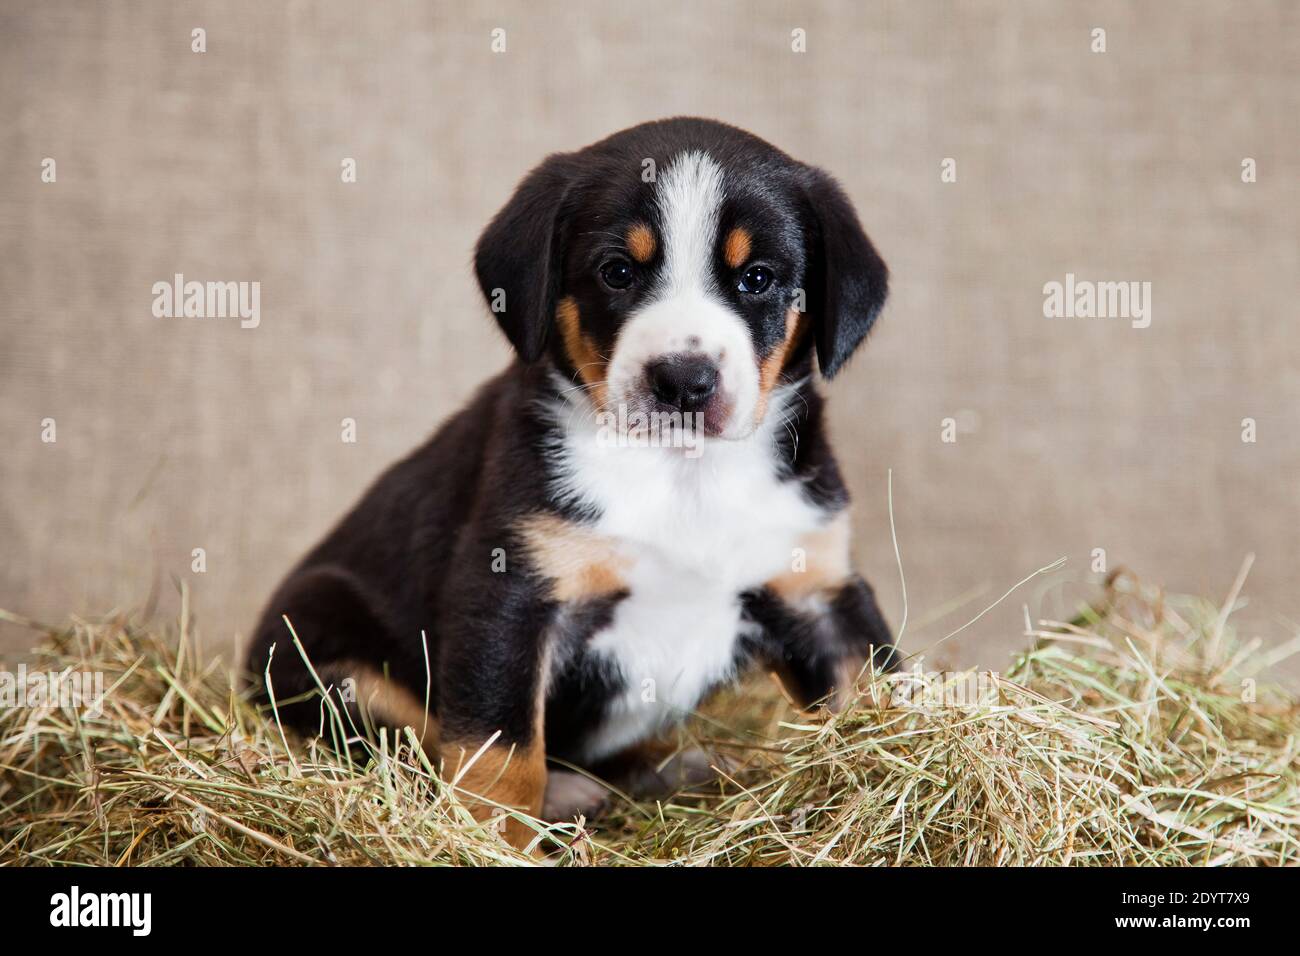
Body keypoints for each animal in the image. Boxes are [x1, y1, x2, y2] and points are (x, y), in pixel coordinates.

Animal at [245, 115, 894, 848]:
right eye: (617, 272)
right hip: (327, 638)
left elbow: (875, 682)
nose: (683, 380)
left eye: (757, 277)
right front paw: (497, 842)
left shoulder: (818, 591)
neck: (683, 478)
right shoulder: (508, 595)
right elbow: (501, 754)